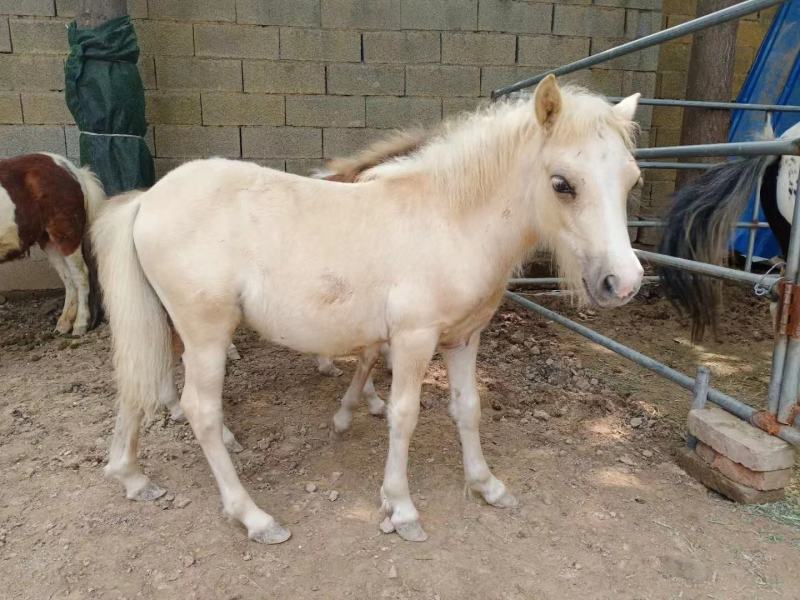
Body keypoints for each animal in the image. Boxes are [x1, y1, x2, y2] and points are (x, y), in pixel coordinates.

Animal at [0, 153, 105, 335]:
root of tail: (71, 169)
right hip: (49, 241)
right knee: (68, 278)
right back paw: (64, 324)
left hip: (67, 236)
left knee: (80, 276)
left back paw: (80, 325)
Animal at [92, 75, 643, 544]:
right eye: (562, 183)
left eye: (632, 181)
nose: (624, 283)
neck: (450, 220)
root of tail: (147, 199)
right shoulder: (413, 339)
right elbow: (405, 414)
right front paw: (401, 507)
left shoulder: (464, 338)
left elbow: (467, 408)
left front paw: (487, 485)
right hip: (206, 333)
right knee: (201, 412)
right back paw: (254, 516)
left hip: (161, 322)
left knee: (136, 385)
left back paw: (132, 477)